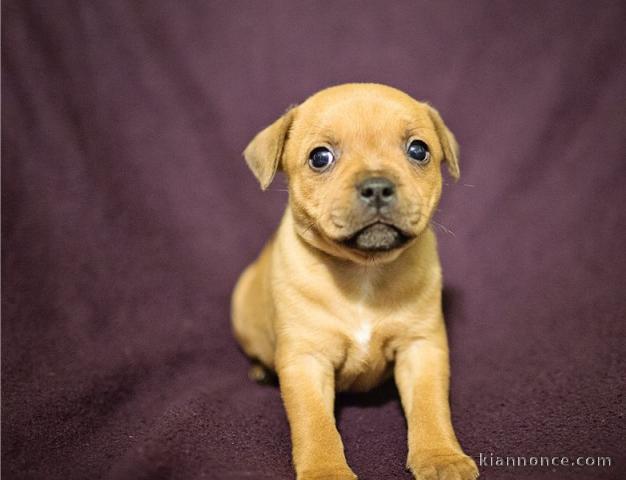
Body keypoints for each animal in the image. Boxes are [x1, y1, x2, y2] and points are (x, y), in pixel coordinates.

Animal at [232, 83, 476, 480]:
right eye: (320, 158)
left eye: (418, 150)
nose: (376, 186)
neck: (364, 272)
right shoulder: (306, 360)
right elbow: (315, 424)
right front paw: (326, 471)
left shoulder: (421, 348)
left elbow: (430, 406)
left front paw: (442, 457)